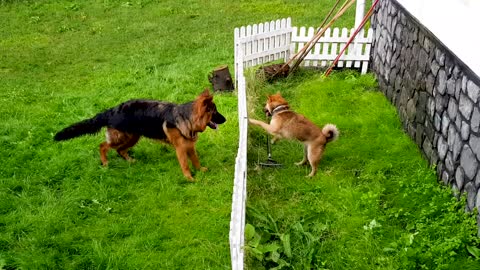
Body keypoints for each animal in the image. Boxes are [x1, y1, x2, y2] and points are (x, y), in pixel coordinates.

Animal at [53, 89, 226, 180]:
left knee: (120, 150)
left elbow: (195, 160)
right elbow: (185, 165)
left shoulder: (189, 146)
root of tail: (110, 111)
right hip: (121, 137)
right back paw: (105, 163)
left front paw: (201, 170)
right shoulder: (180, 149)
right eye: (215, 112)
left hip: (132, 137)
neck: (186, 117)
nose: (226, 119)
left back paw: (130, 161)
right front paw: (189, 178)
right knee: (103, 146)